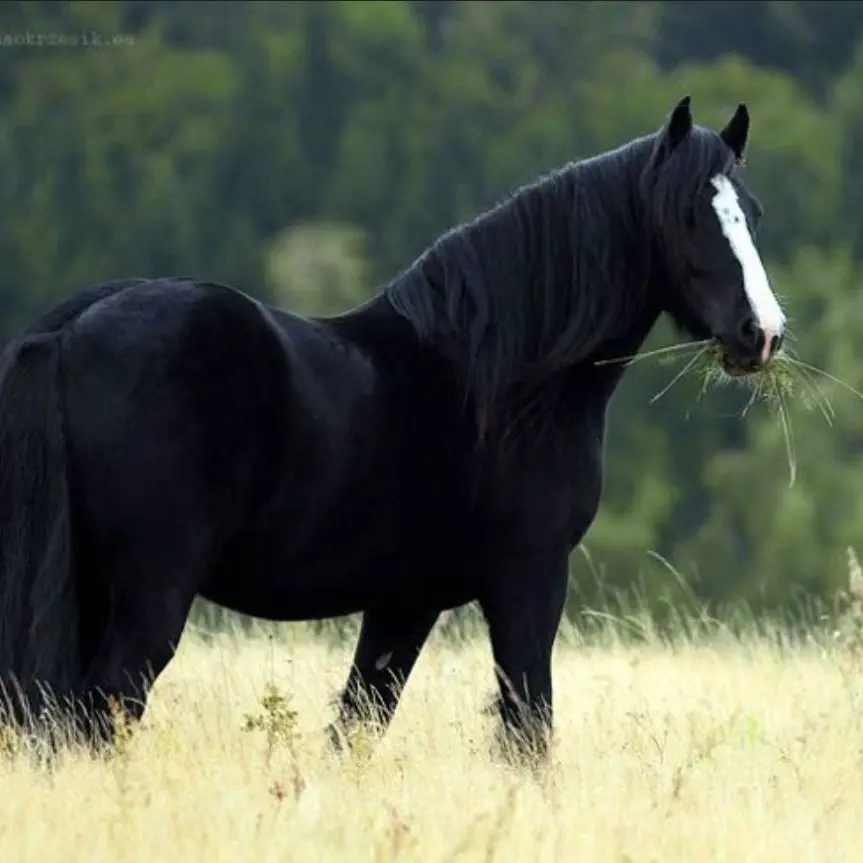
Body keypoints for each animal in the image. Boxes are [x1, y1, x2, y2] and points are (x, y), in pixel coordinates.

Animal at [0, 96, 785, 764]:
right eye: (688, 214)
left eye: (751, 211)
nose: (763, 333)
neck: (505, 382)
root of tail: (67, 332)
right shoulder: (528, 579)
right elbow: (528, 733)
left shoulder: (404, 603)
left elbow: (356, 727)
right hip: (148, 596)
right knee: (94, 716)